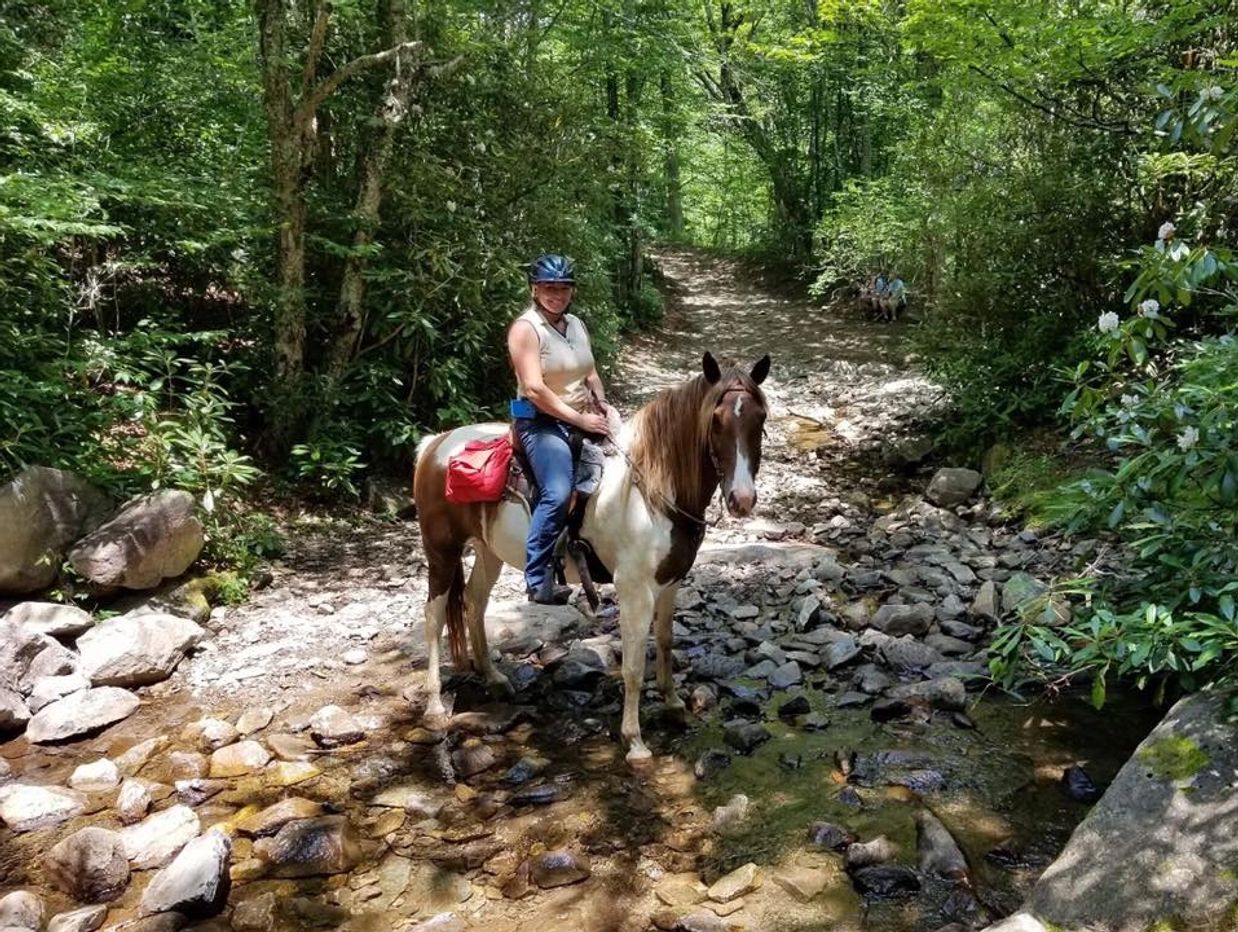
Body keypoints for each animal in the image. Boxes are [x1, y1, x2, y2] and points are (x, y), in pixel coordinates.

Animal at [412, 351, 771, 763]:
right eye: (716, 420)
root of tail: (434, 444)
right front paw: (634, 741)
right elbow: (633, 666)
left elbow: (666, 642)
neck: (651, 491)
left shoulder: (670, 582)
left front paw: (674, 705)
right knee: (434, 616)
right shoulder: (634, 589)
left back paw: (495, 678)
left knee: (474, 601)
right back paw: (434, 706)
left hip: (489, 550)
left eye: (760, 418)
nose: (742, 499)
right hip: (442, 550)